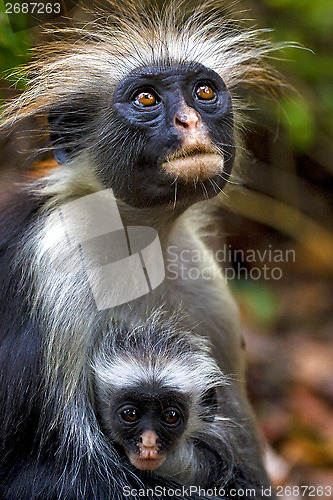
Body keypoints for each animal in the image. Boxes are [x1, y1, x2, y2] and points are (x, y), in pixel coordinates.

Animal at [0, 1, 280, 498]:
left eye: (204, 92)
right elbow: (58, 472)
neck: (140, 240)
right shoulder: (58, 262)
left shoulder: (208, 291)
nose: (189, 121)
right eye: (146, 100)